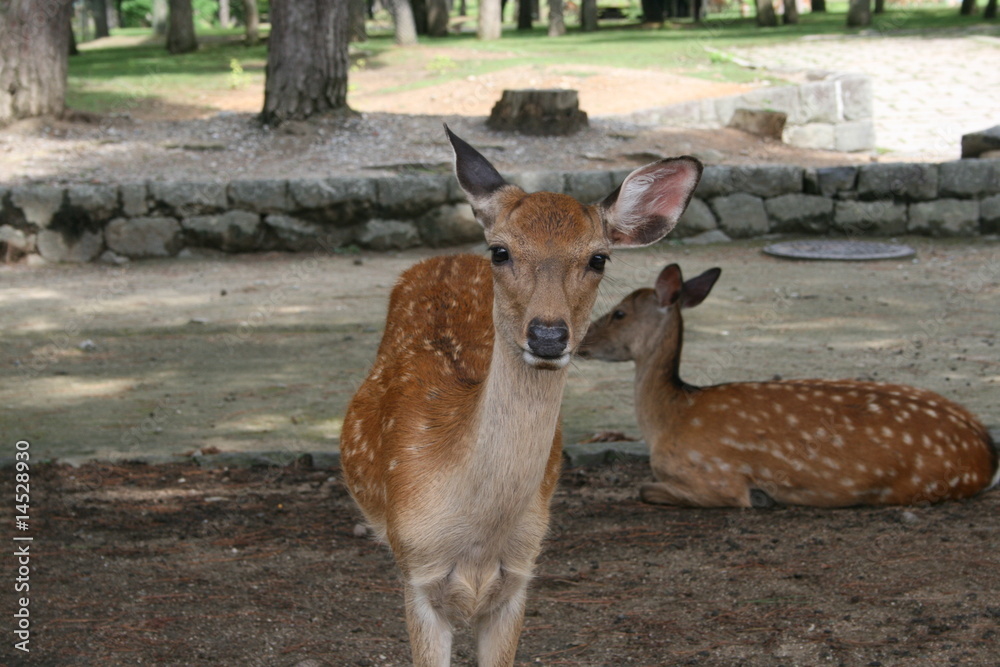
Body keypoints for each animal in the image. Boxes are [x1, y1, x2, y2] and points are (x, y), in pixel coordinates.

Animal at [339, 127, 702, 666]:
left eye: (598, 257)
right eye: (501, 252)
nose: (548, 335)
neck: (478, 539)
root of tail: (446, 257)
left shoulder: (520, 575)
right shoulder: (417, 575)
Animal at [579, 263, 1000, 508]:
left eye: (619, 313)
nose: (581, 343)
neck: (670, 416)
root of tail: (988, 455)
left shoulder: (716, 476)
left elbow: (647, 489)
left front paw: (763, 497)